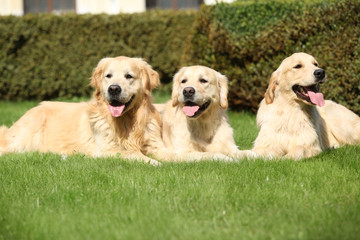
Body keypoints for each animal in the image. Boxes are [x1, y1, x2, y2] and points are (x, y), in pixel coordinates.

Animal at [0, 56, 170, 165]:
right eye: (108, 76)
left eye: (129, 76)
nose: (114, 89)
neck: (127, 121)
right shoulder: (106, 149)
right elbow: (133, 153)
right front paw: (154, 162)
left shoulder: (155, 145)